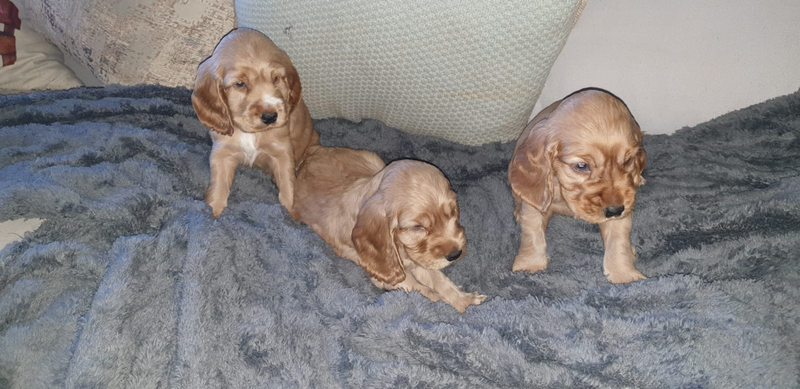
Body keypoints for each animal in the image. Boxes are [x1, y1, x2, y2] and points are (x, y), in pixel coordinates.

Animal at [191, 28, 318, 218]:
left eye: (276, 78)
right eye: (240, 84)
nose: (270, 117)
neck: (250, 133)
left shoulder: (282, 151)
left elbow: (289, 187)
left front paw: (293, 214)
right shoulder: (222, 153)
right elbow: (218, 188)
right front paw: (211, 213)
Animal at [292, 146, 484, 312]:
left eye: (453, 213)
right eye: (418, 227)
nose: (456, 254)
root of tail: (316, 149)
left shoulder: (418, 258)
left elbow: (440, 280)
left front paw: (465, 301)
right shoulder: (389, 275)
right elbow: (419, 287)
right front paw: (442, 302)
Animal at [510, 88, 648, 282]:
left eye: (628, 160)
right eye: (582, 166)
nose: (615, 210)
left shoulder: (623, 204)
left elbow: (618, 240)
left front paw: (624, 275)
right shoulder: (536, 202)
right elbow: (532, 234)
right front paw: (529, 265)